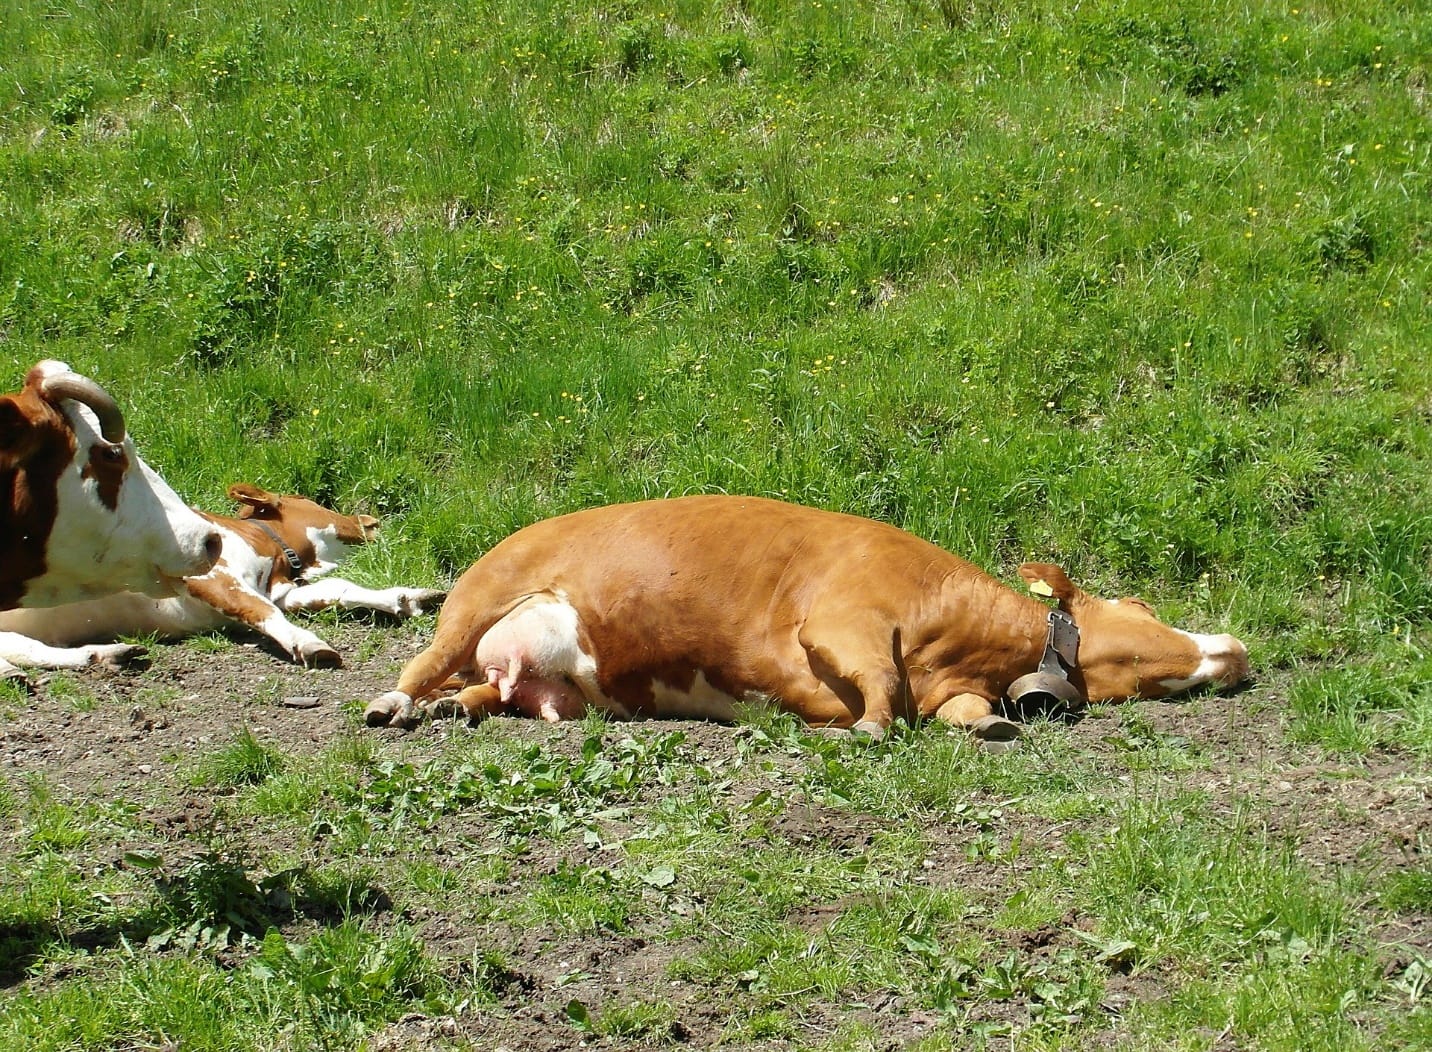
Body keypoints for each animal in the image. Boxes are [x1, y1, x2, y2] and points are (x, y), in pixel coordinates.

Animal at [0, 480, 446, 669]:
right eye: (315, 502)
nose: (370, 519)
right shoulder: (213, 578)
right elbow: (265, 613)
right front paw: (309, 643)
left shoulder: (280, 588)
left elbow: (337, 587)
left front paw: (406, 596)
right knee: (26, 652)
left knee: (26, 651)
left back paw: (110, 654)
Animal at [363, 495, 1248, 738]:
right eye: (1138, 610)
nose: (1234, 648)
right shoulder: (842, 623)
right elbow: (880, 693)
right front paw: (862, 732)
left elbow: (961, 714)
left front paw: (993, 724)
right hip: (479, 600)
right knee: (423, 663)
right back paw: (393, 705)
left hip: (548, 684)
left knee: (485, 690)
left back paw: (455, 709)